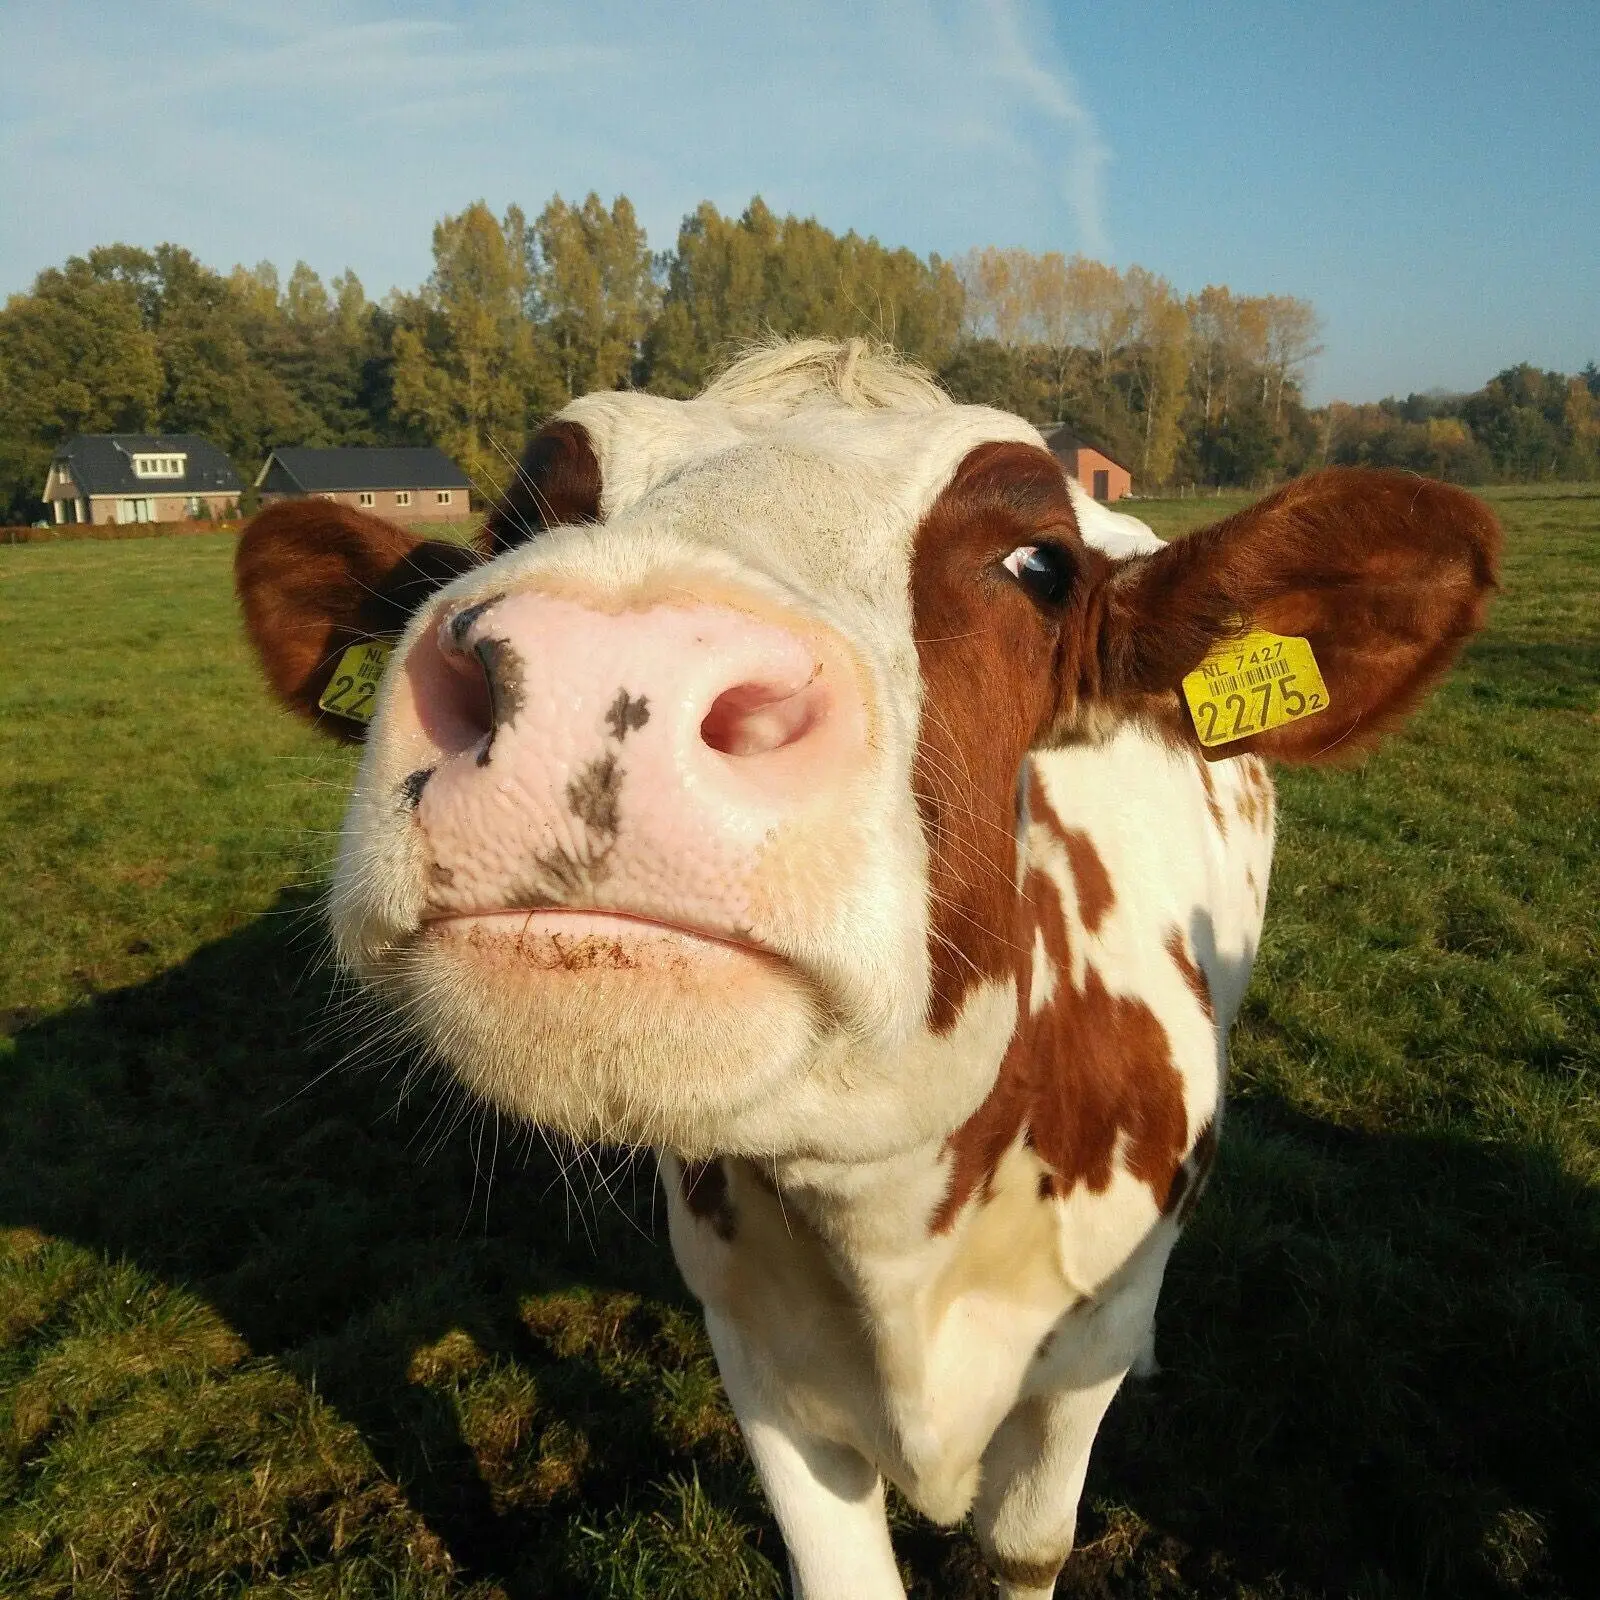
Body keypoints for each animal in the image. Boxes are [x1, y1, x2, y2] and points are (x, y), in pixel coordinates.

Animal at [235, 339, 1499, 1598]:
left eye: (1038, 564)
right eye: (517, 517)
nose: (605, 662)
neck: (891, 1229)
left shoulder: (1080, 1353)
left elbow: (1028, 1540)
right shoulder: (755, 1352)